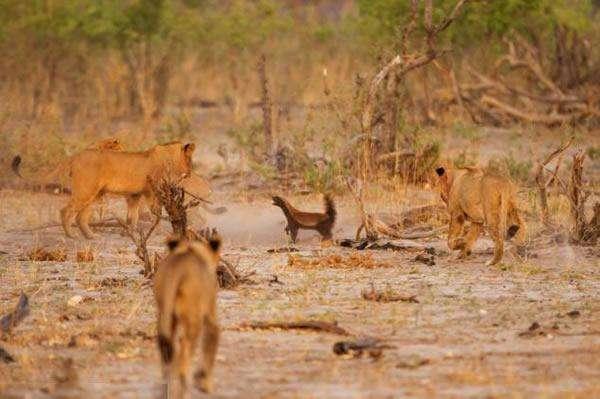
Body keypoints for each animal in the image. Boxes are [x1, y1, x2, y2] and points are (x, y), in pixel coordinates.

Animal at [154, 236, 221, 396]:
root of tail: (177, 269)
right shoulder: (211, 316)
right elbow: (210, 346)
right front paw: (205, 385)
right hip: (193, 321)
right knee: (183, 354)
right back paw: (185, 389)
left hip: (164, 317)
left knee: (167, 355)